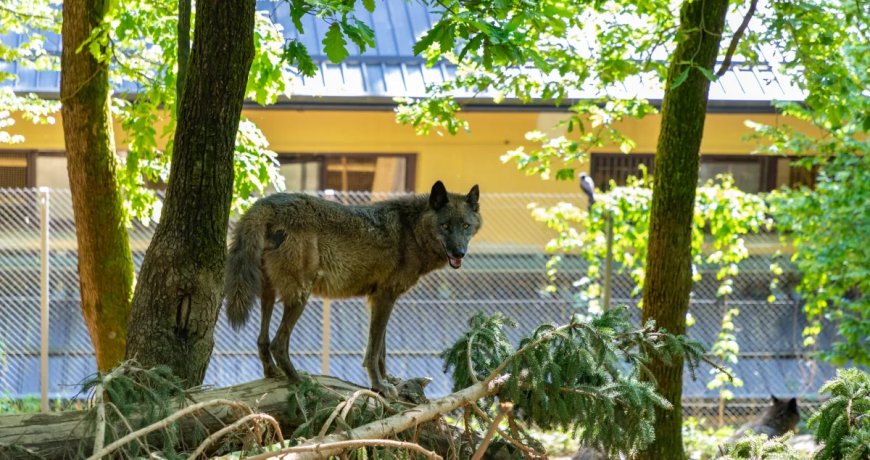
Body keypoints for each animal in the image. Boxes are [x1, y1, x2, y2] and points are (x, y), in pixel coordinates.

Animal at [223, 181, 482, 397]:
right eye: (445, 226)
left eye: (465, 226)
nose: (460, 253)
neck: (411, 231)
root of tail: (265, 204)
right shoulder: (385, 297)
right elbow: (373, 351)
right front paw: (379, 386)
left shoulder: (380, 299)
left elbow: (381, 349)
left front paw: (389, 380)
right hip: (300, 296)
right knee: (278, 343)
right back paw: (302, 381)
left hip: (269, 293)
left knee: (262, 340)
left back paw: (273, 373)